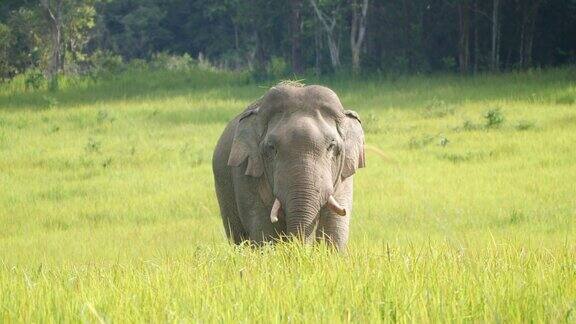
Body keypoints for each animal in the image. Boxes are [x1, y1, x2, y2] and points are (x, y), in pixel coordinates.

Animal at [212, 84, 364, 251]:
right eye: (271, 148)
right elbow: (263, 231)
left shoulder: (343, 177)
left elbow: (335, 227)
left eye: (331, 146)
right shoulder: (246, 174)